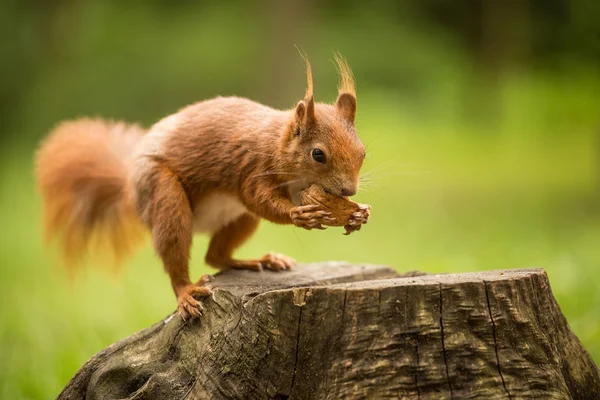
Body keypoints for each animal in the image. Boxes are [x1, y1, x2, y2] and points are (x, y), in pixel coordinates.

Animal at [36, 55, 370, 318]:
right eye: (318, 154)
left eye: (363, 151)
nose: (349, 192)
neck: (277, 144)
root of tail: (130, 188)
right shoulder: (251, 168)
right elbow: (260, 199)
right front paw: (300, 215)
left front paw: (358, 215)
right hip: (164, 195)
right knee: (178, 251)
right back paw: (186, 292)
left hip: (240, 218)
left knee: (216, 255)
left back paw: (260, 260)